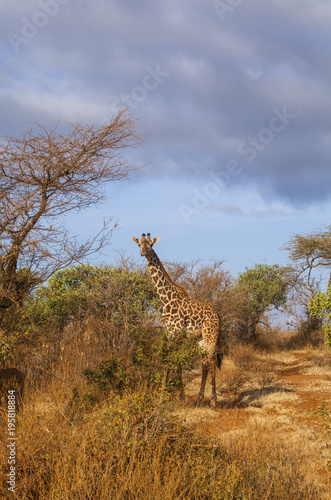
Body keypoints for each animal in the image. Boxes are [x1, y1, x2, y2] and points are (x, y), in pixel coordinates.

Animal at [132, 232, 223, 404]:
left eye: (151, 245)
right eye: (139, 244)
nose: (143, 252)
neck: (166, 300)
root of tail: (218, 315)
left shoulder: (177, 333)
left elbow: (174, 361)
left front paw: (167, 397)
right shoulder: (169, 333)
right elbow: (172, 361)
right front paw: (173, 395)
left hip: (211, 336)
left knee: (213, 361)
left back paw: (214, 399)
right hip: (200, 339)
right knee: (205, 362)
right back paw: (199, 398)